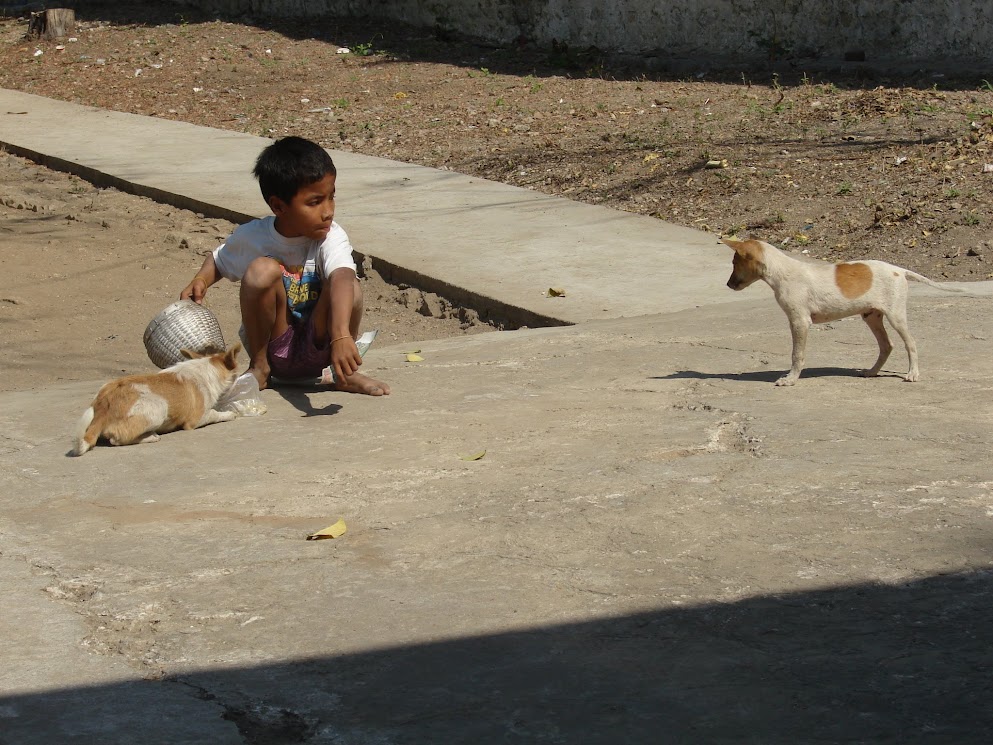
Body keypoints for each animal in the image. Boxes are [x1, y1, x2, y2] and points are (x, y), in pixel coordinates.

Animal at [72, 342, 241, 454]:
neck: (207, 368)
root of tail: (104, 403)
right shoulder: (197, 419)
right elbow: (215, 413)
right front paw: (229, 414)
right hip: (160, 407)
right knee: (116, 440)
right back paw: (151, 437)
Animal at [724, 241, 956, 386]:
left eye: (735, 263)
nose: (727, 285)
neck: (782, 272)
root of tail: (899, 270)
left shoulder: (799, 322)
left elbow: (796, 355)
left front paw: (790, 379)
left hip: (895, 316)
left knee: (911, 344)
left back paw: (912, 373)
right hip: (871, 317)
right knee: (886, 345)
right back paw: (872, 372)